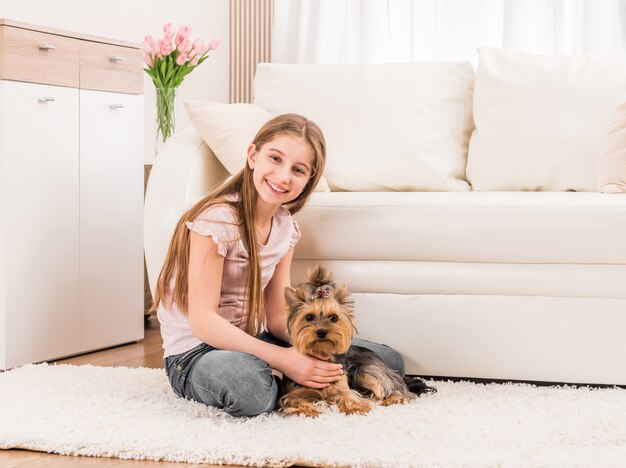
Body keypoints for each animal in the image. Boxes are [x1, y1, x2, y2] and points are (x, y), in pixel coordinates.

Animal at [278, 266, 434, 416]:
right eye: (309, 317)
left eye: (334, 317)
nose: (322, 331)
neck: (323, 354)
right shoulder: (293, 392)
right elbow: (293, 400)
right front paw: (310, 410)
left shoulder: (342, 387)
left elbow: (349, 397)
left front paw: (356, 408)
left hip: (367, 371)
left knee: (396, 390)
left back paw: (393, 399)